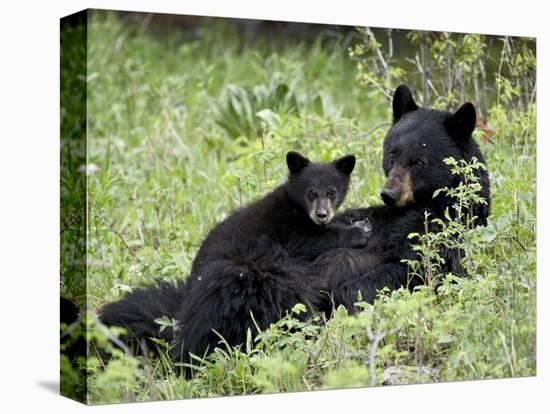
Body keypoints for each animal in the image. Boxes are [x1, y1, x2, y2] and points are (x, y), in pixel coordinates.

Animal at [101, 150, 368, 364]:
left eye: (332, 192)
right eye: (311, 193)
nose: (322, 214)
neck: (298, 210)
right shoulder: (288, 229)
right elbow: (313, 240)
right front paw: (358, 231)